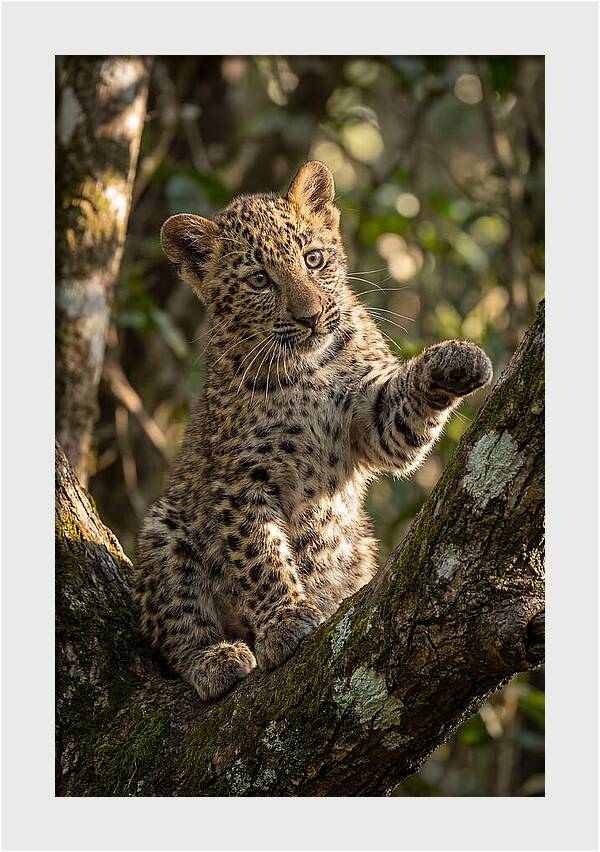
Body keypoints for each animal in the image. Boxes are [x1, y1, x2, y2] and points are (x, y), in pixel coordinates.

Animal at [134, 160, 493, 701]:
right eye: (259, 279)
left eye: (314, 258)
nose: (311, 316)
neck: (308, 370)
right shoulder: (241, 479)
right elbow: (259, 555)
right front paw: (284, 622)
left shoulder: (373, 423)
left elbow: (401, 414)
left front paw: (456, 359)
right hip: (165, 530)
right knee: (175, 629)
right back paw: (215, 659)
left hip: (359, 548)